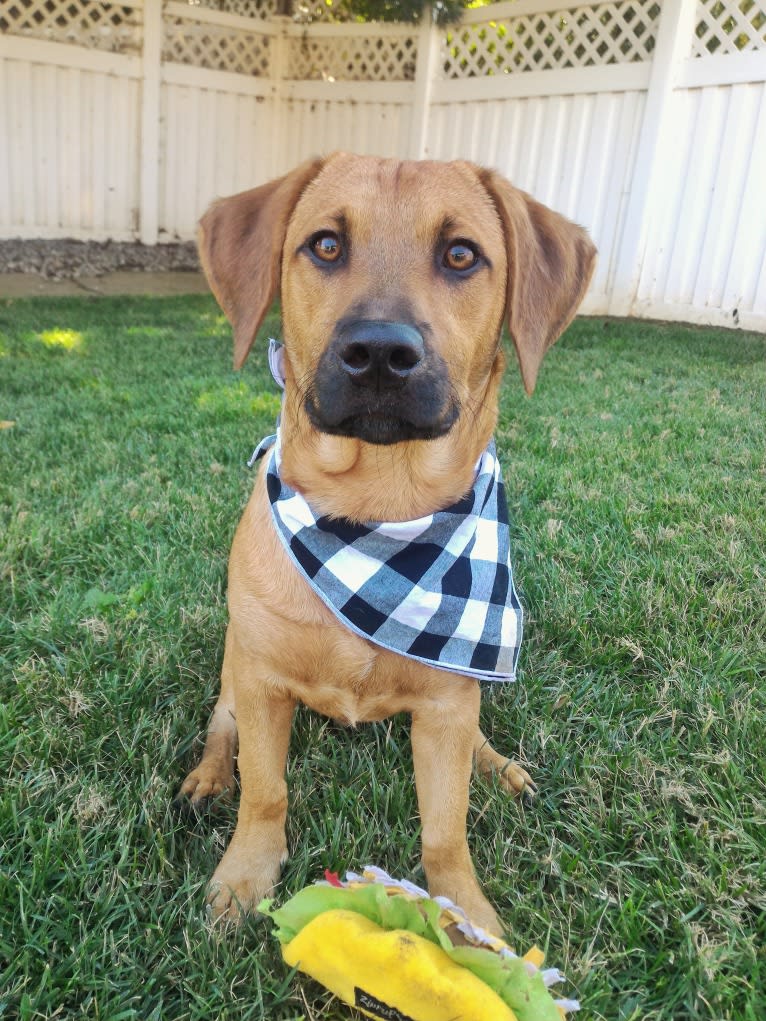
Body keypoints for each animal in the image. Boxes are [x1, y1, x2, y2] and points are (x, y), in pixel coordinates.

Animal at [178, 151, 592, 935]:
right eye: (324, 245)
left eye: (461, 254)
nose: (377, 351)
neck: (376, 514)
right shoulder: (262, 680)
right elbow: (265, 791)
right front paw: (245, 876)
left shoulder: (446, 704)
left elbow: (445, 830)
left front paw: (467, 916)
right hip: (233, 664)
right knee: (222, 727)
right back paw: (208, 775)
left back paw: (497, 763)